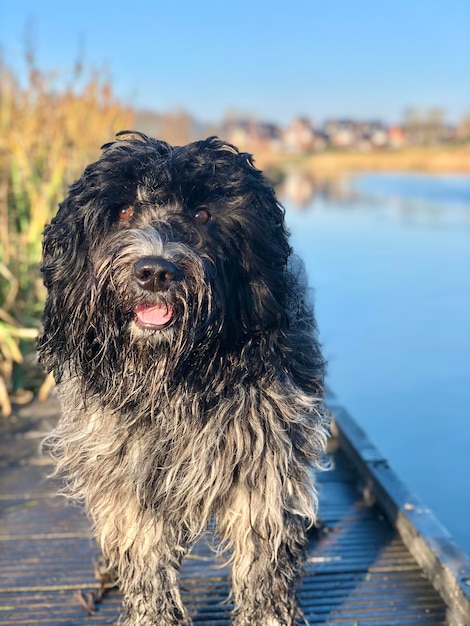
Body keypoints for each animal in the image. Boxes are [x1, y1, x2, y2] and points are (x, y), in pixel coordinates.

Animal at [38, 133, 328, 624]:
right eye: (121, 211)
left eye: (202, 215)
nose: (155, 271)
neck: (177, 375)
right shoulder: (127, 472)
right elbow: (144, 559)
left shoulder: (264, 462)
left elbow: (262, 561)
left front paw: (267, 614)